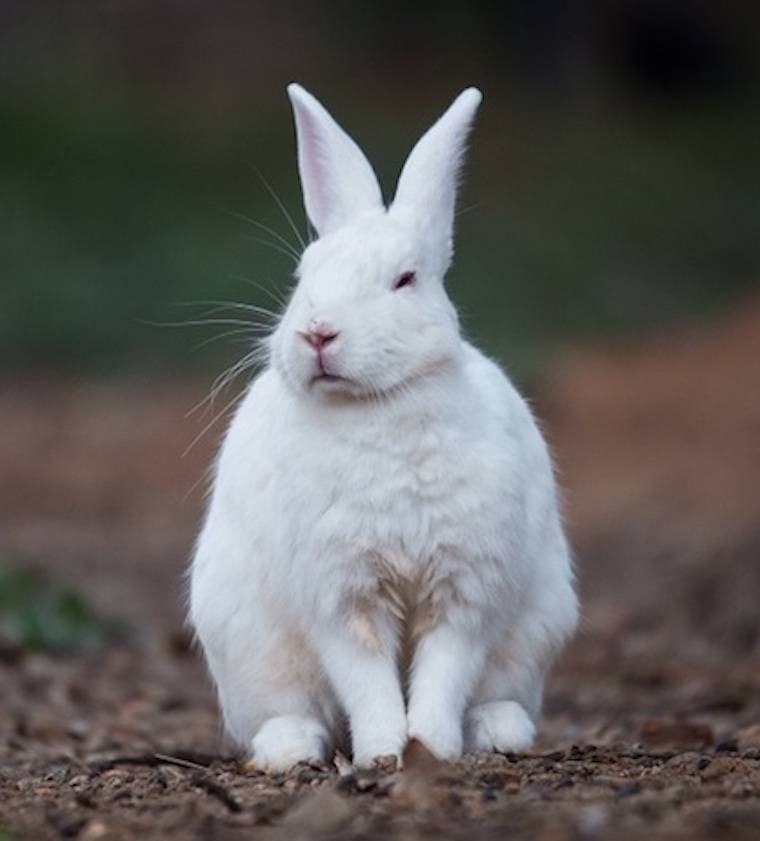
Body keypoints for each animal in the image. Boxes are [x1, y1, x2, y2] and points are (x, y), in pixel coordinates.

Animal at [189, 83, 578, 771]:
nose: (318, 332)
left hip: (533, 633)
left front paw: (430, 750)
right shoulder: (343, 597)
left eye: (405, 280)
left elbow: (443, 673)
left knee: (495, 695)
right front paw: (382, 756)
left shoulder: (464, 591)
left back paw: (499, 732)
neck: (378, 406)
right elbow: (367, 681)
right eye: (303, 276)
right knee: (286, 713)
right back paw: (291, 748)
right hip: (251, 649)